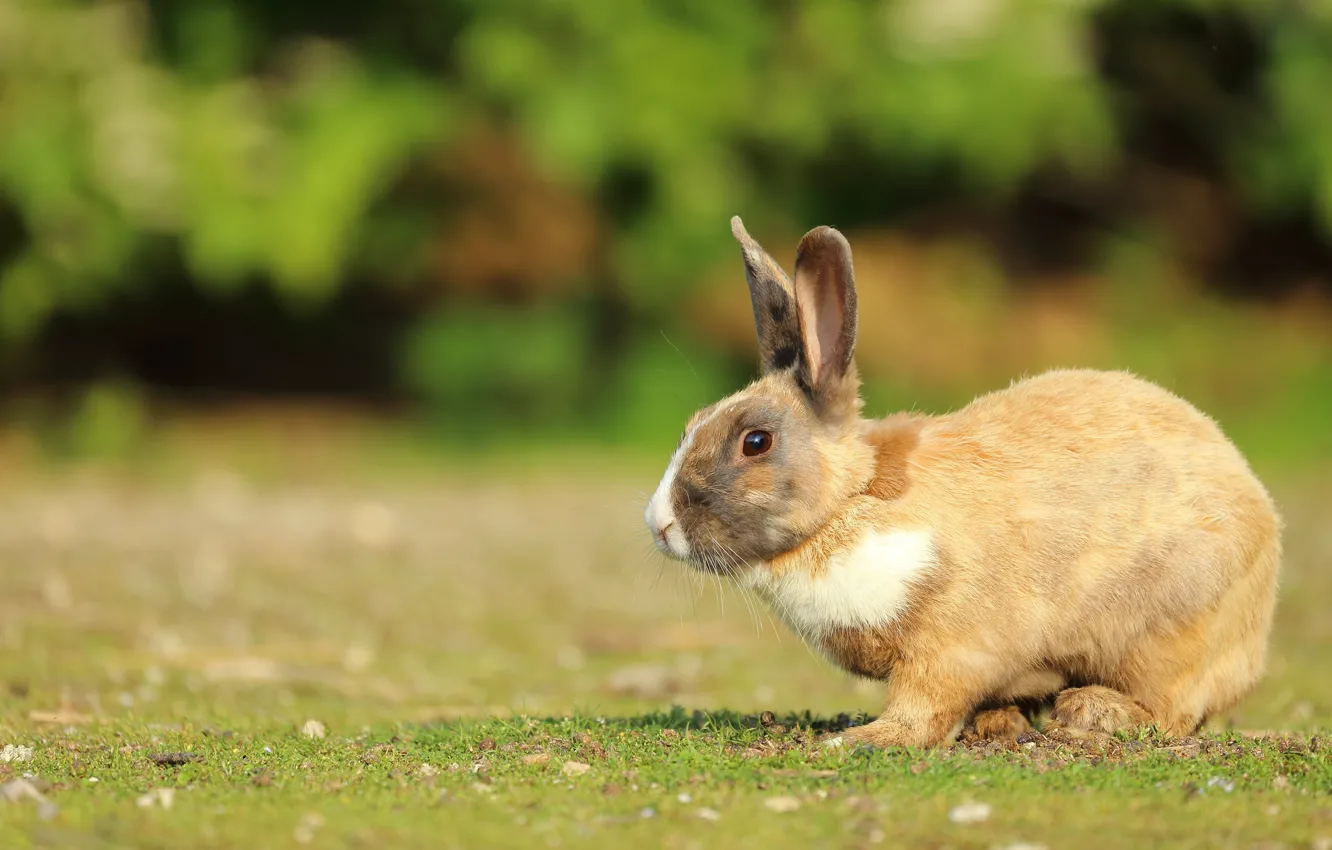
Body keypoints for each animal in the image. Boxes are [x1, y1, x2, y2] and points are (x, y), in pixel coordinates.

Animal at [643, 216, 1282, 748]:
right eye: (693, 422)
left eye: (756, 442)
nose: (658, 524)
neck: (851, 502)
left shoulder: (951, 646)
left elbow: (924, 705)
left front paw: (863, 740)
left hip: (1166, 634)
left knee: (1174, 712)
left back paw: (1090, 714)